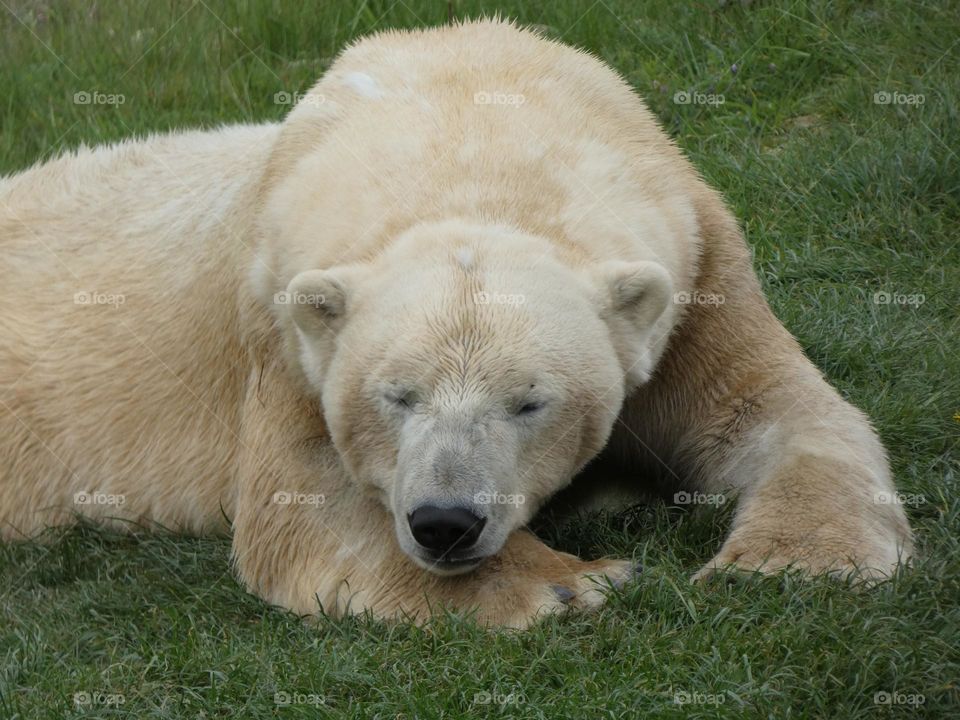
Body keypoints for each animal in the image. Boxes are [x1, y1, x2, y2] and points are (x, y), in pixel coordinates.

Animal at [0, 19, 912, 628]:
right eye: (395, 396)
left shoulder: (701, 270)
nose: (446, 521)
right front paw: (573, 581)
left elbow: (776, 413)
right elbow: (304, 510)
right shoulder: (282, 326)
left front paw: (788, 564)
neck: (471, 116)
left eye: (530, 400)